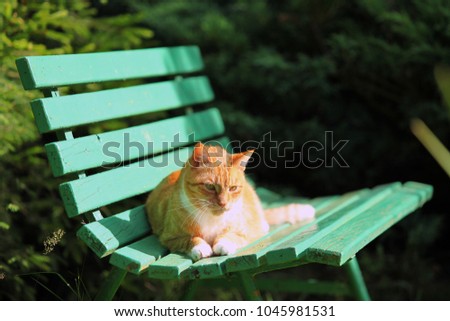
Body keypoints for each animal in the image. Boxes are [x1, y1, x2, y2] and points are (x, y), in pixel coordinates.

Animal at [146, 142, 314, 260]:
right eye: (210, 186)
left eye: (233, 188)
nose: (223, 203)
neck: (211, 219)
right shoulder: (169, 237)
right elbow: (190, 238)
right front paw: (201, 247)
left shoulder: (244, 231)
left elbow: (232, 235)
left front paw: (223, 243)